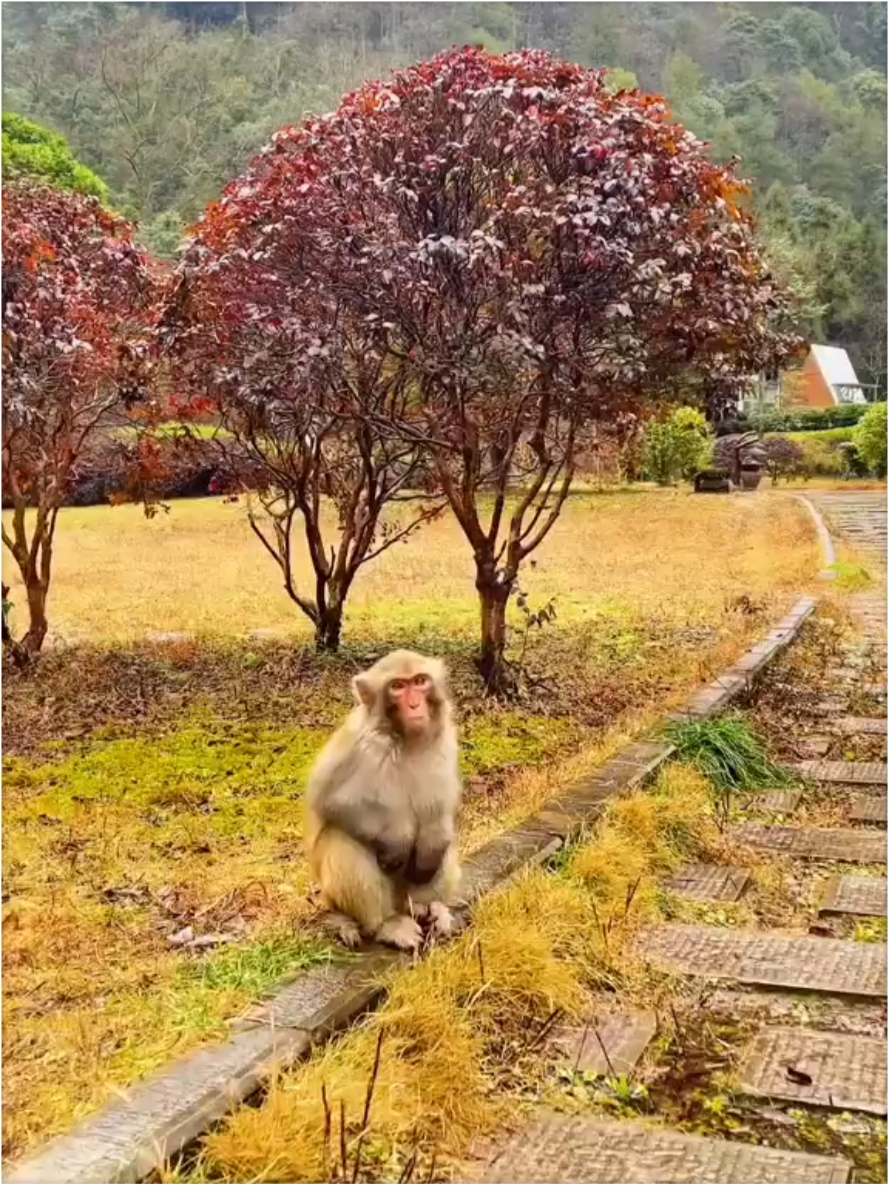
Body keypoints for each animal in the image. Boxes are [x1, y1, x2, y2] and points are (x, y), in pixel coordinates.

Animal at [305, 654, 462, 947]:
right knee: (340, 839)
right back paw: (385, 925)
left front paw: (431, 843)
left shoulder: (445, 738)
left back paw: (430, 908)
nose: (414, 704)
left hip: (406, 895)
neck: (405, 739)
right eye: (398, 686)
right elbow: (330, 802)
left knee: (444, 843)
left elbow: (439, 809)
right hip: (335, 897)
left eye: (420, 681)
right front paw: (399, 838)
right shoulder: (358, 746)